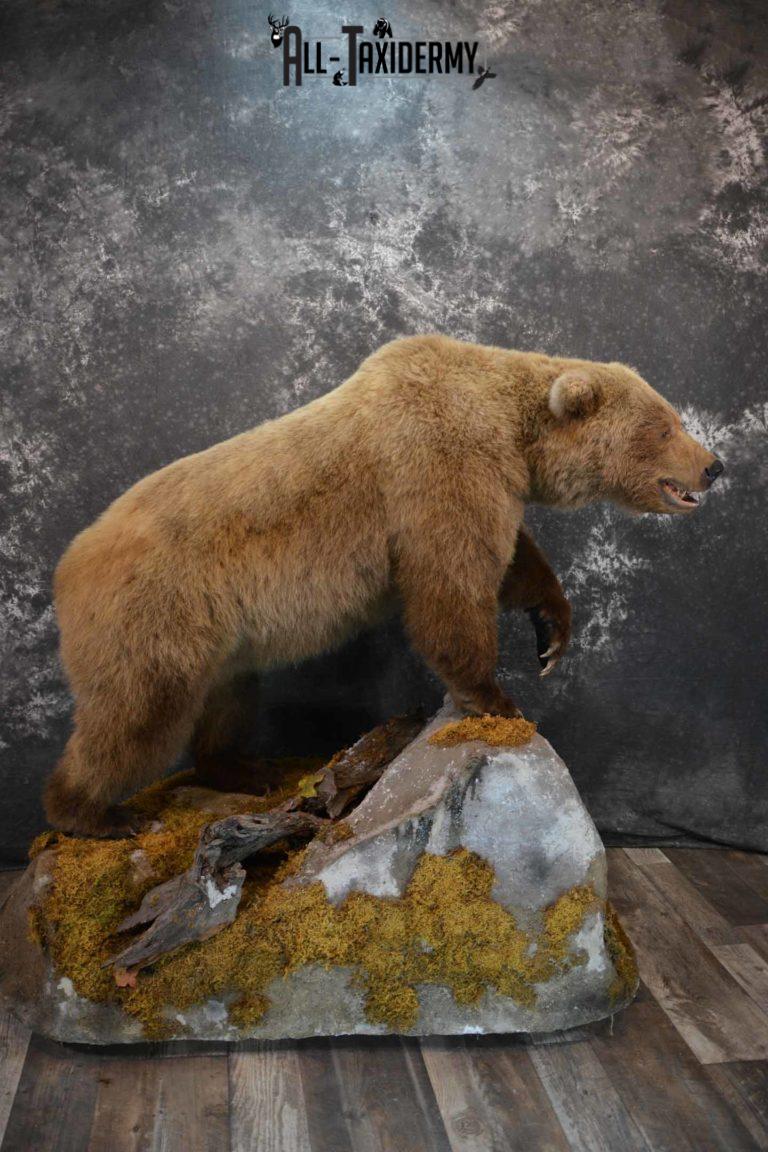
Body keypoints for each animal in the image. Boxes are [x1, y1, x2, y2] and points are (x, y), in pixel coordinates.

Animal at [44, 334, 724, 837]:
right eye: (665, 426)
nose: (714, 465)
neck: (510, 428)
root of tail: (67, 566)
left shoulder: (488, 480)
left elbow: (512, 561)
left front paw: (551, 634)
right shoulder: (440, 466)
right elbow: (451, 585)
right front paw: (499, 700)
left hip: (218, 636)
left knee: (226, 697)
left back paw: (242, 769)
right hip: (157, 607)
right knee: (137, 713)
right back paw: (94, 813)